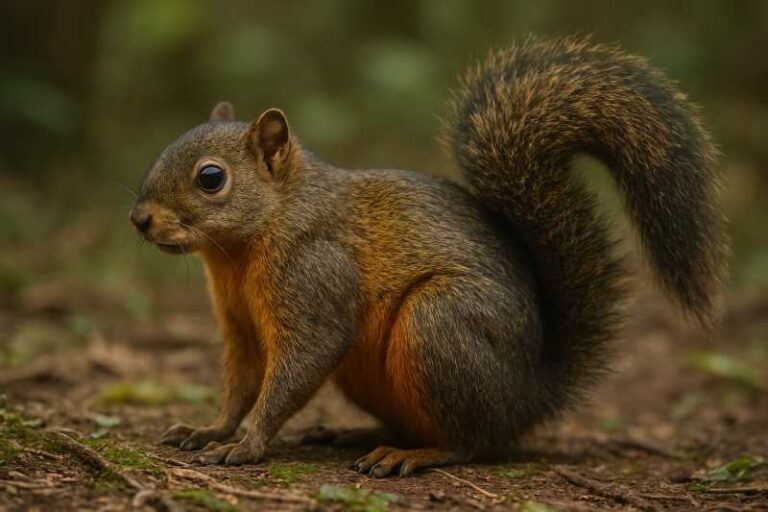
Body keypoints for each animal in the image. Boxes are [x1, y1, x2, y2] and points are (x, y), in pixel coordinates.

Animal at [130, 37, 728, 476]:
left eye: (211, 178)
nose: (139, 219)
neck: (244, 248)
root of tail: (530, 395)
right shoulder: (239, 324)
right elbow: (241, 382)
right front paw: (210, 429)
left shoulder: (315, 274)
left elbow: (298, 364)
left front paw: (247, 443)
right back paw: (358, 433)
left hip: (440, 323)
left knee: (471, 441)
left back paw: (415, 455)